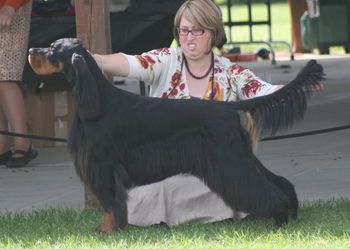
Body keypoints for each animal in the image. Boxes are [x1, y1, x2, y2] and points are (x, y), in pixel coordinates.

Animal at [28, 38, 322, 232]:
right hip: (239, 156)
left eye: (53, 49)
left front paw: (108, 231)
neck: (97, 100)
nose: (31, 50)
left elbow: (111, 203)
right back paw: (289, 212)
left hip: (230, 161)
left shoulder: (103, 164)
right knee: (276, 181)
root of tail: (229, 108)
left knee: (262, 188)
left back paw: (279, 218)